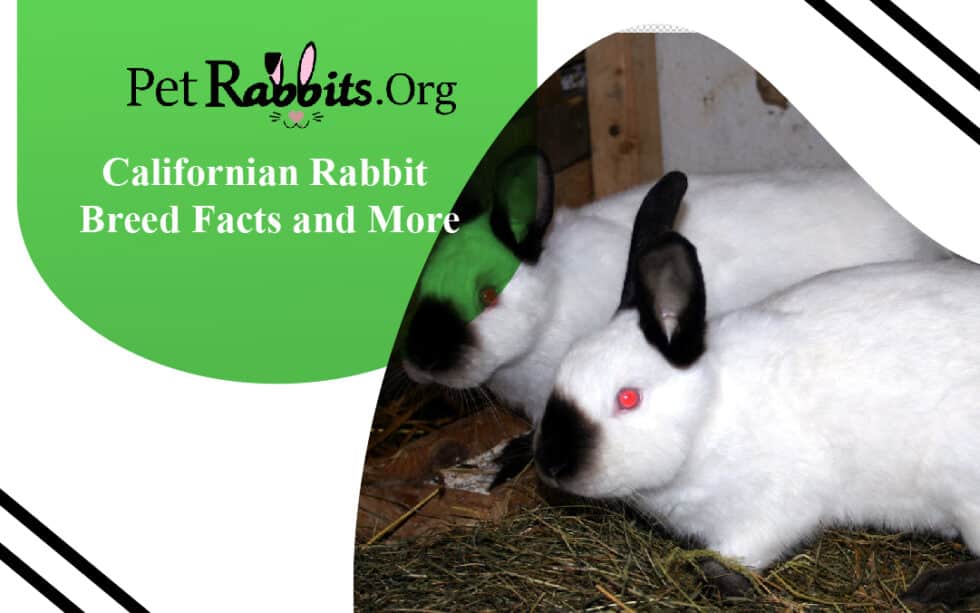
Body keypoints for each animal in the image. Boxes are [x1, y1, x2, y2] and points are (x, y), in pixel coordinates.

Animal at [533, 176, 980, 606]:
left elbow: (735, 557)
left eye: (628, 398)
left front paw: (718, 586)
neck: (708, 415)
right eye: (563, 370)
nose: (551, 465)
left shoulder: (771, 512)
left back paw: (930, 589)